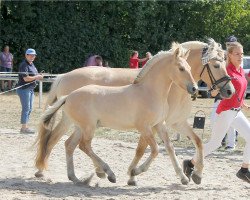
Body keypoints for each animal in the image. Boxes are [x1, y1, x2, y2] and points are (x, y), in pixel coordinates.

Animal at [34, 39, 234, 186]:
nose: (229, 91)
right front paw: (133, 174)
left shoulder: (164, 124)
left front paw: (189, 176)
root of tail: (66, 88)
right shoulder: (146, 127)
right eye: (216, 65)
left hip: (81, 126)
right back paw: (103, 173)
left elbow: (176, 146)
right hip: (84, 125)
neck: (151, 91)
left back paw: (77, 177)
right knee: (68, 143)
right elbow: (149, 150)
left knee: (69, 144)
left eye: (191, 69)